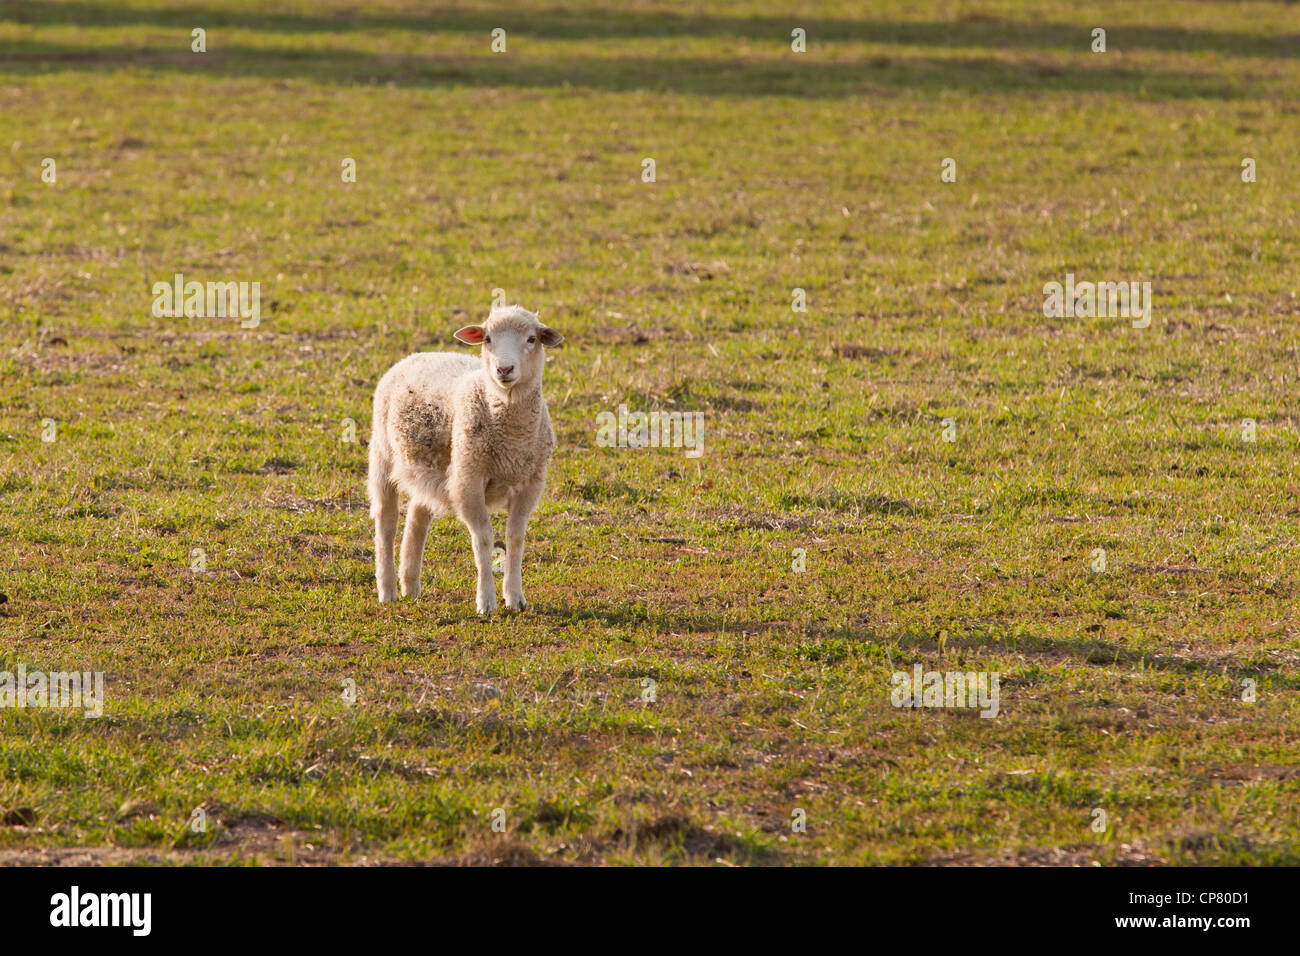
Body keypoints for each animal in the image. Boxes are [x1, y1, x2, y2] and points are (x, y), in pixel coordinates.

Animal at [367, 305, 564, 614]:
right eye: (487, 339)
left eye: (532, 339)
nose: (504, 369)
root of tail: (419, 354)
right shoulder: (468, 479)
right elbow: (483, 539)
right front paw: (486, 601)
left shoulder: (531, 483)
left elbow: (515, 537)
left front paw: (515, 597)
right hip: (383, 454)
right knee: (386, 522)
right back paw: (388, 590)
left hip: (432, 466)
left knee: (417, 516)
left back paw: (410, 586)